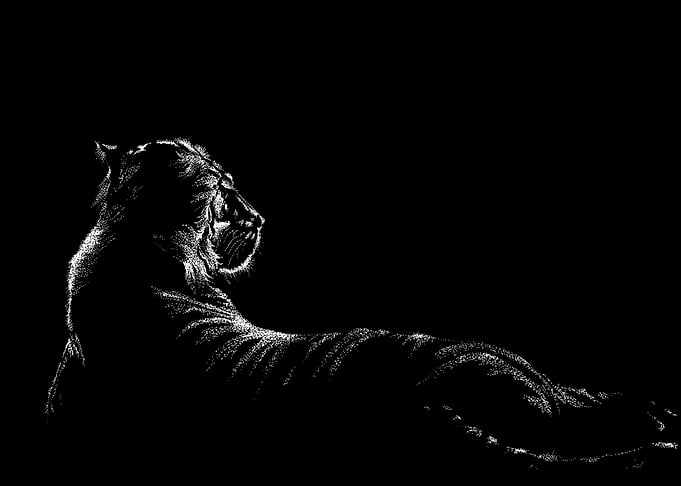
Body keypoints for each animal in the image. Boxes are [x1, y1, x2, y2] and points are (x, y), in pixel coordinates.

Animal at [46, 138, 678, 473]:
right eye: (225, 197)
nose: (262, 218)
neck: (132, 244)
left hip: (521, 379)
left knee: (576, 399)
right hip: (508, 379)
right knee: (573, 420)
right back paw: (654, 431)